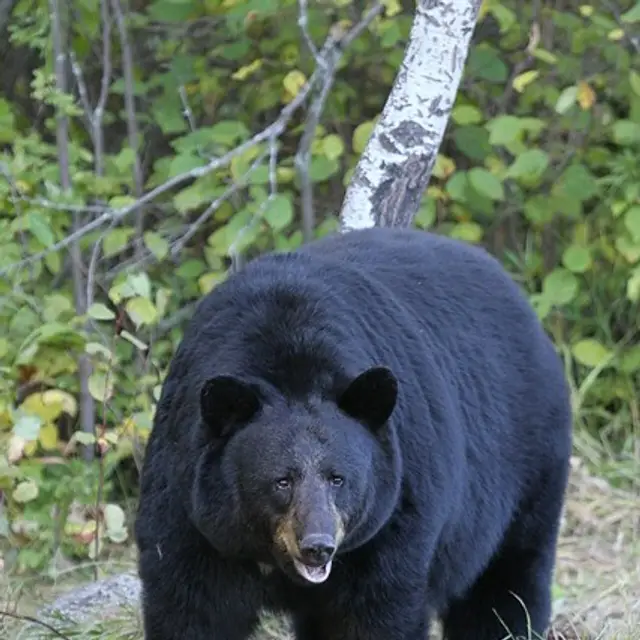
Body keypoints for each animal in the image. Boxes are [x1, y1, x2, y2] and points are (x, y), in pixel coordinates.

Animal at [134, 226, 572, 640]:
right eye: (281, 481)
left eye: (338, 478)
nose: (317, 546)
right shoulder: (191, 514)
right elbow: (190, 608)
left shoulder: (392, 518)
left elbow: (375, 614)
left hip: (526, 467)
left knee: (506, 583)